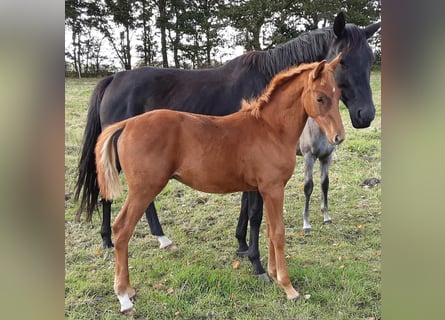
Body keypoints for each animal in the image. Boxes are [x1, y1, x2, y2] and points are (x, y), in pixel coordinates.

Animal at [73, 12, 378, 276]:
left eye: (369, 60)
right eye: (342, 62)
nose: (366, 115)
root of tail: (114, 78)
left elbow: (246, 206)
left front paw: (241, 244)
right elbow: (254, 211)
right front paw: (255, 259)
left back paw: (160, 238)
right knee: (108, 192)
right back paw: (109, 241)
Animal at [93, 58, 344, 312]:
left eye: (338, 94)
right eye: (320, 98)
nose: (338, 137)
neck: (270, 129)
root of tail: (127, 124)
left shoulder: (265, 190)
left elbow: (270, 231)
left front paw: (273, 274)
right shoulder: (272, 189)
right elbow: (279, 233)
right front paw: (288, 287)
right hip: (143, 189)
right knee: (121, 229)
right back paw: (124, 295)